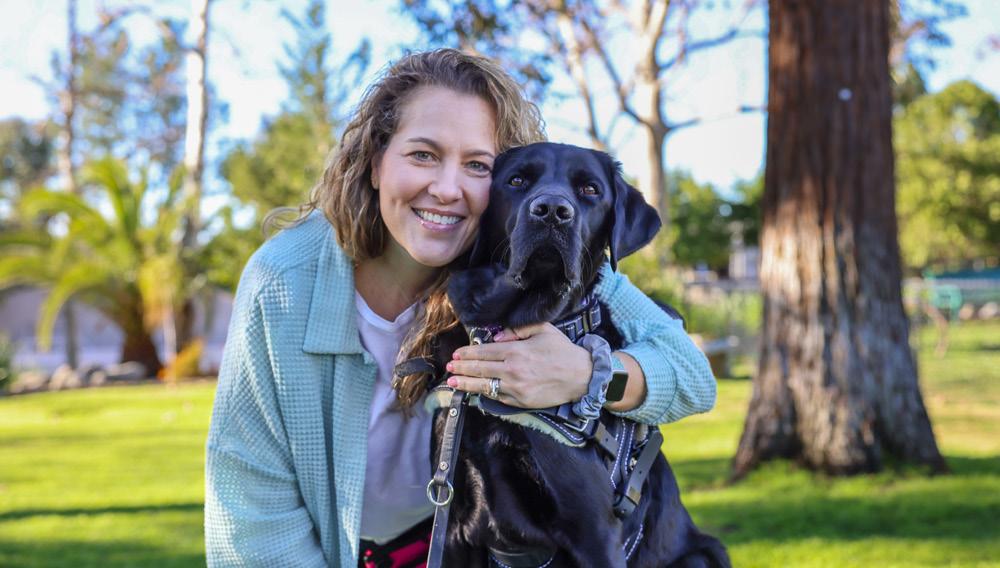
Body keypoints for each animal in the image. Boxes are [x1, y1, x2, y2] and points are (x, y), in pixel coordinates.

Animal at [422, 142, 729, 567]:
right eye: (516, 180)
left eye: (590, 189)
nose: (552, 210)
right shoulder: (452, 526)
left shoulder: (595, 532)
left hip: (701, 555)